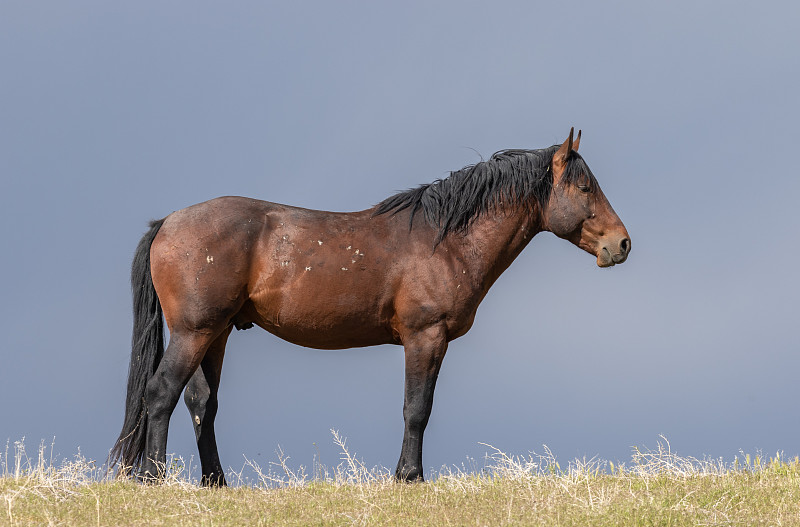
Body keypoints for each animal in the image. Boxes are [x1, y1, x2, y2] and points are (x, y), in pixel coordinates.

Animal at [109, 129, 632, 486]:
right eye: (585, 188)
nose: (621, 244)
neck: (444, 240)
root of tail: (167, 222)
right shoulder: (425, 336)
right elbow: (416, 408)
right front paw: (409, 476)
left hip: (214, 334)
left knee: (202, 403)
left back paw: (215, 482)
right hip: (194, 332)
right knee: (161, 393)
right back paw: (153, 478)